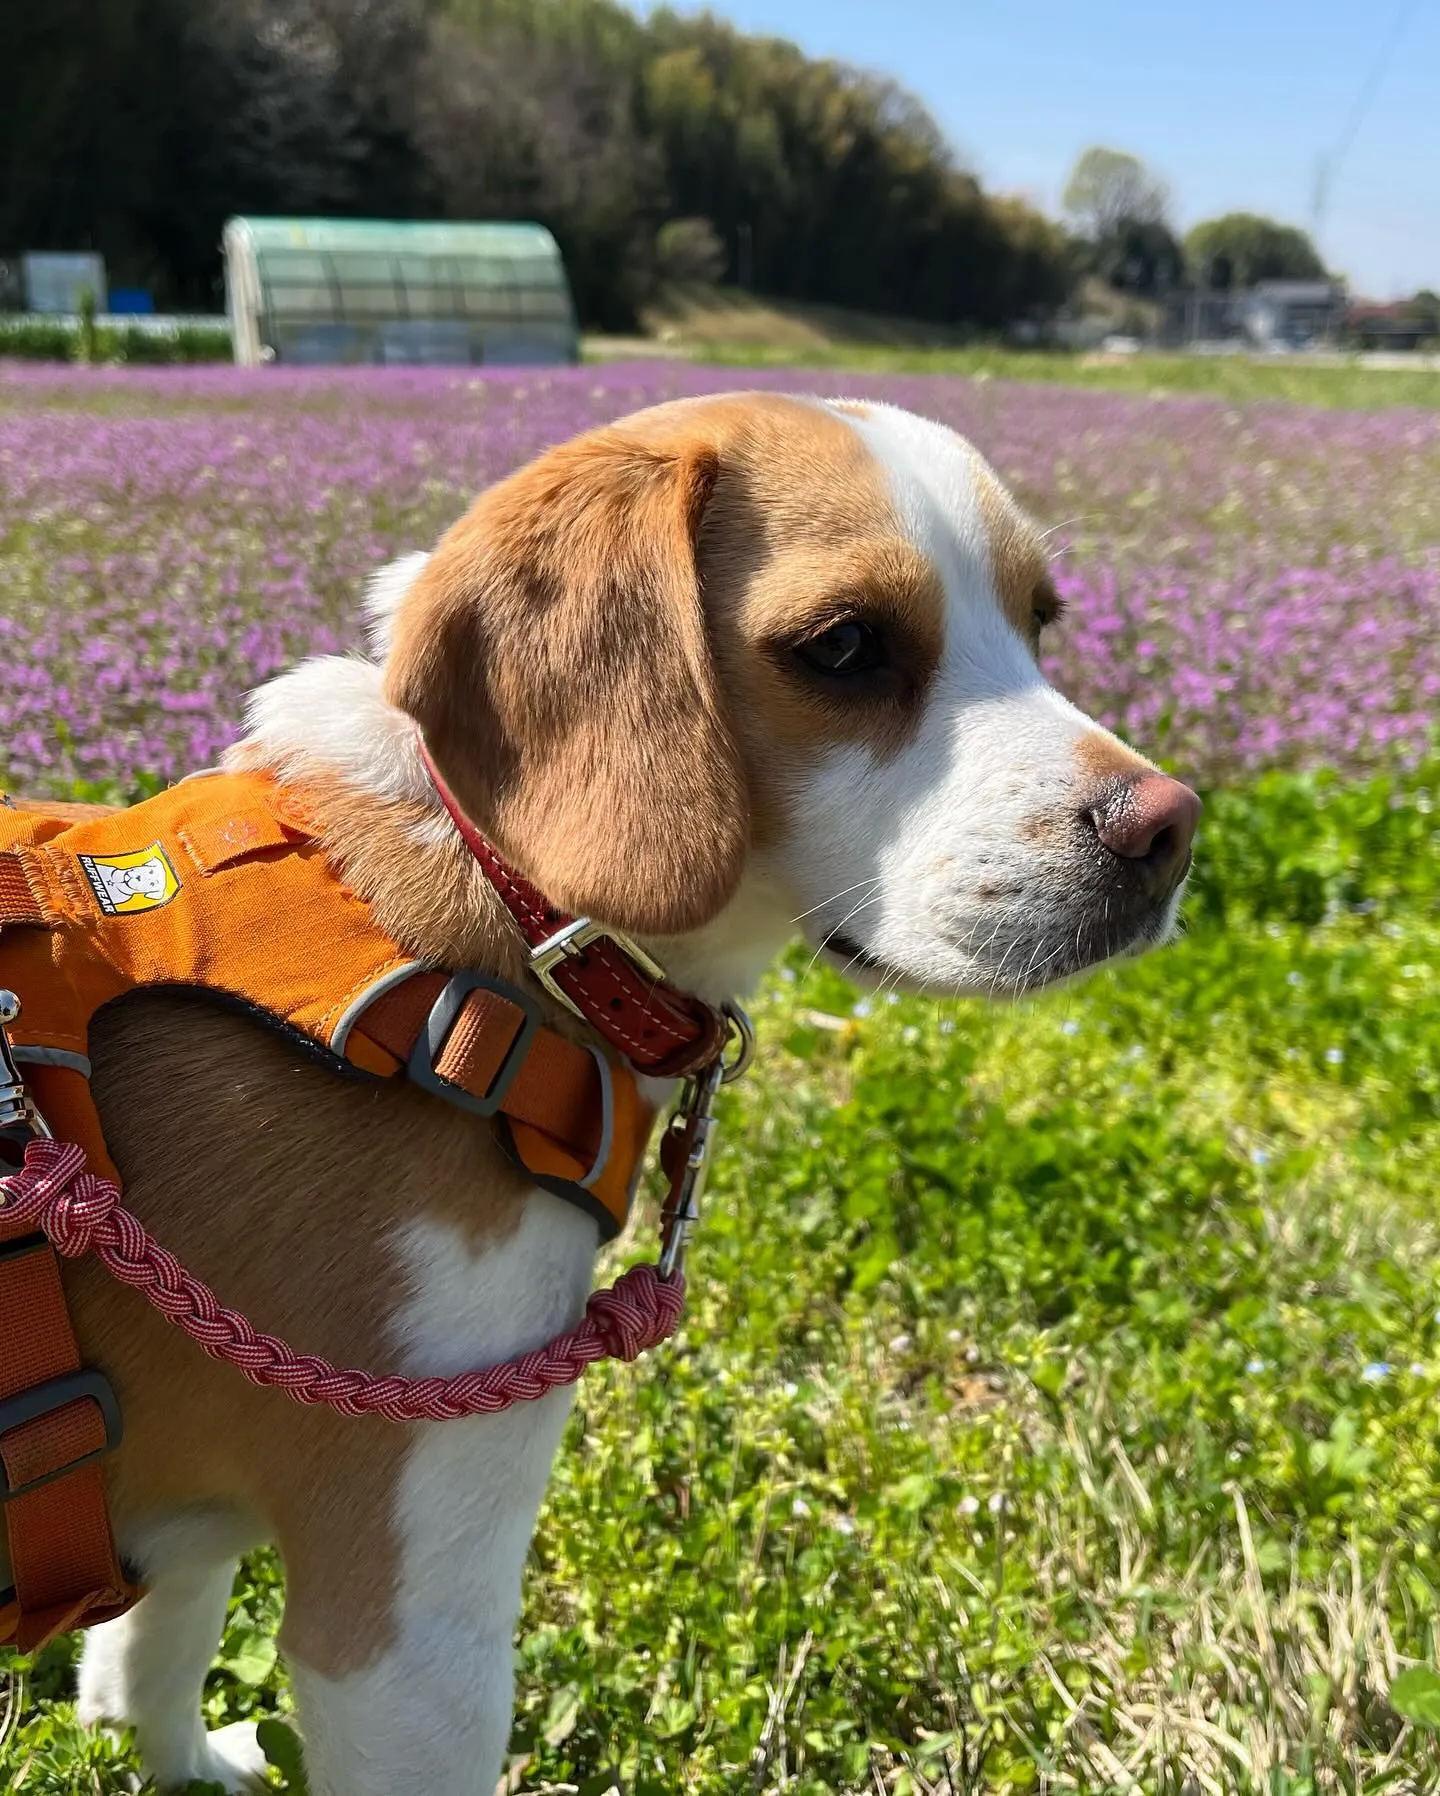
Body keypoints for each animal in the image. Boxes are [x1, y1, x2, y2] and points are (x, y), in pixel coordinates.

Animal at [58, 389, 1192, 1781]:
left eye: (1042, 617)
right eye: (845, 645)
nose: (1170, 828)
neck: (490, 921)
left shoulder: (202, 1516)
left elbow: (148, 1656)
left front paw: (180, 1764)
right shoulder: (408, 1630)